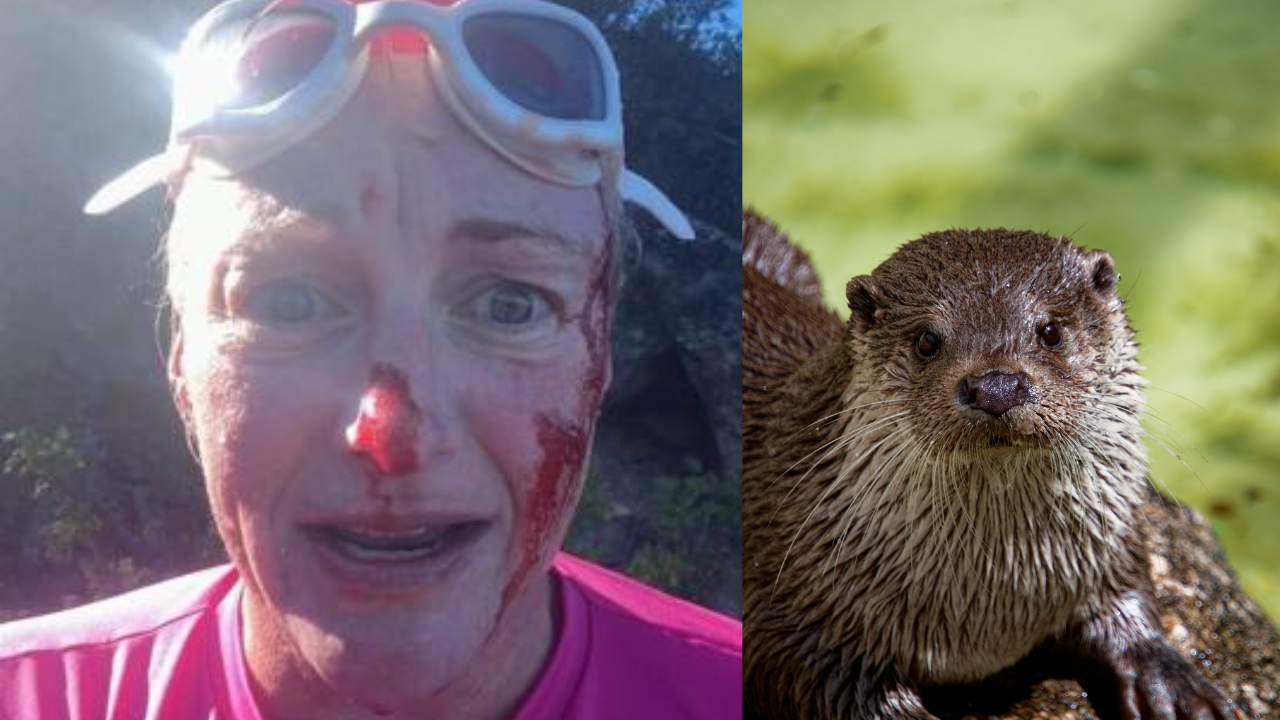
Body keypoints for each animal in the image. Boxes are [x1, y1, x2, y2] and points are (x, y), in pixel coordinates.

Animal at [742, 208, 1238, 720]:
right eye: (927, 340)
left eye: (1050, 331)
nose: (996, 387)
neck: (988, 610)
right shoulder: (790, 610)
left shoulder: (1108, 544)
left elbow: (1128, 596)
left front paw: (1172, 684)